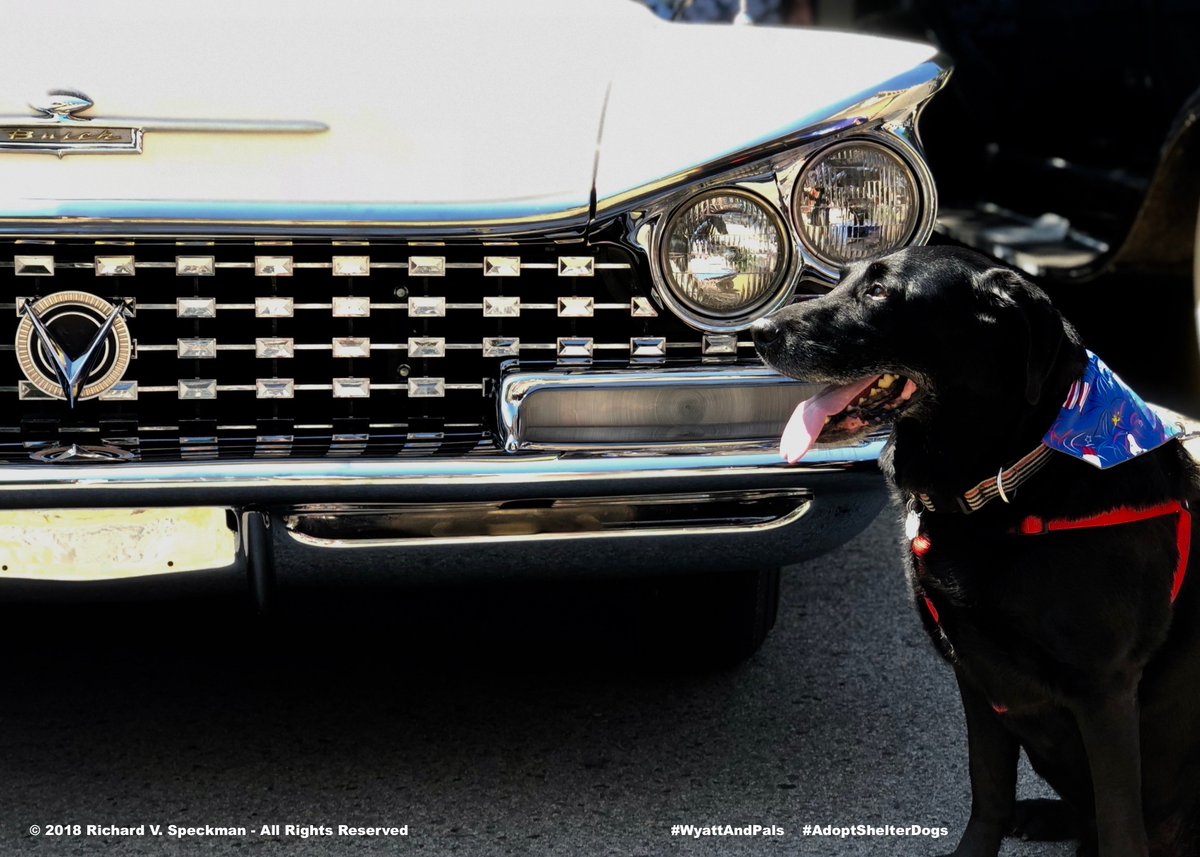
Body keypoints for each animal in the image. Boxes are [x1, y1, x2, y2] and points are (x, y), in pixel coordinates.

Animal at [753, 244, 1195, 854]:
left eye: (880, 292)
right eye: (842, 279)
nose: (756, 332)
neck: (1011, 476)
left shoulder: (1104, 689)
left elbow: (1119, 827)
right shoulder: (978, 675)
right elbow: (988, 792)